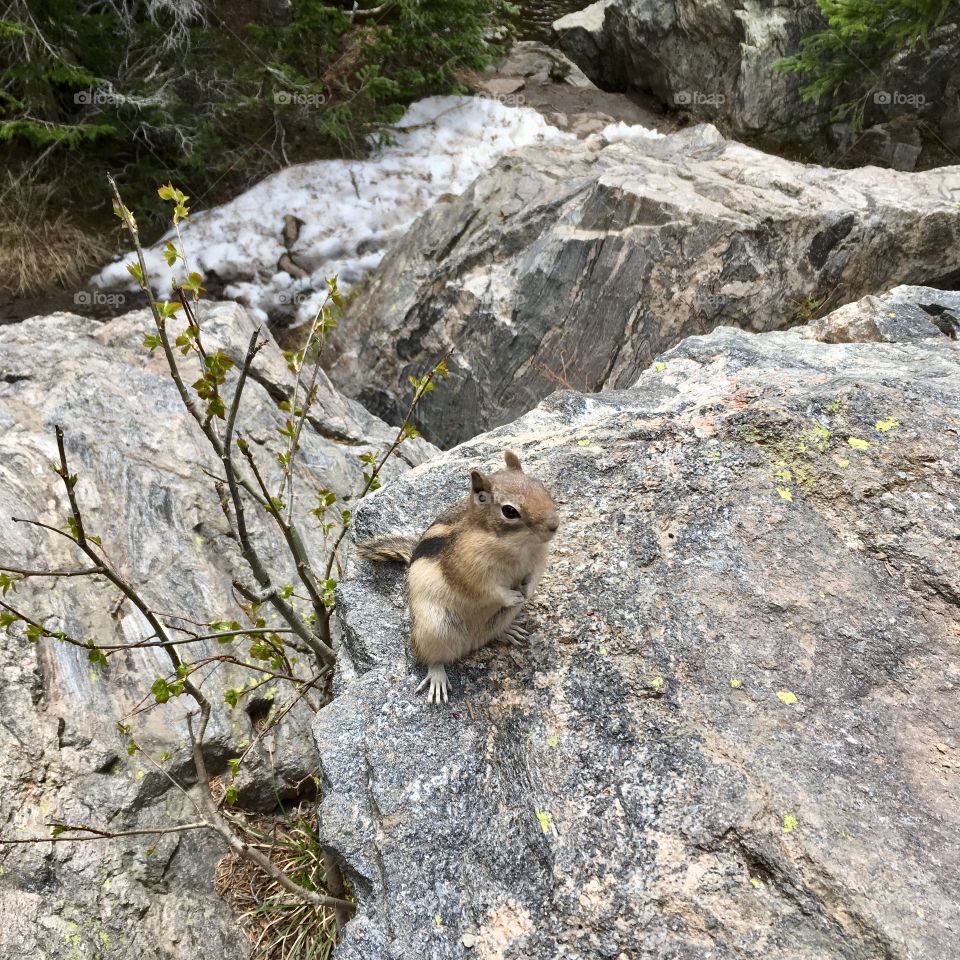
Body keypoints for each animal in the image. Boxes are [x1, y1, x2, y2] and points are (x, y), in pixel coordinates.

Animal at [356, 450, 559, 704]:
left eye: (541, 486)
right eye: (510, 511)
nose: (554, 525)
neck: (516, 546)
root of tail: (472, 643)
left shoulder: (538, 557)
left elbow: (535, 576)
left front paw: (528, 591)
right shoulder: (467, 569)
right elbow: (486, 590)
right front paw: (511, 596)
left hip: (498, 619)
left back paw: (508, 631)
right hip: (435, 627)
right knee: (431, 657)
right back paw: (437, 677)